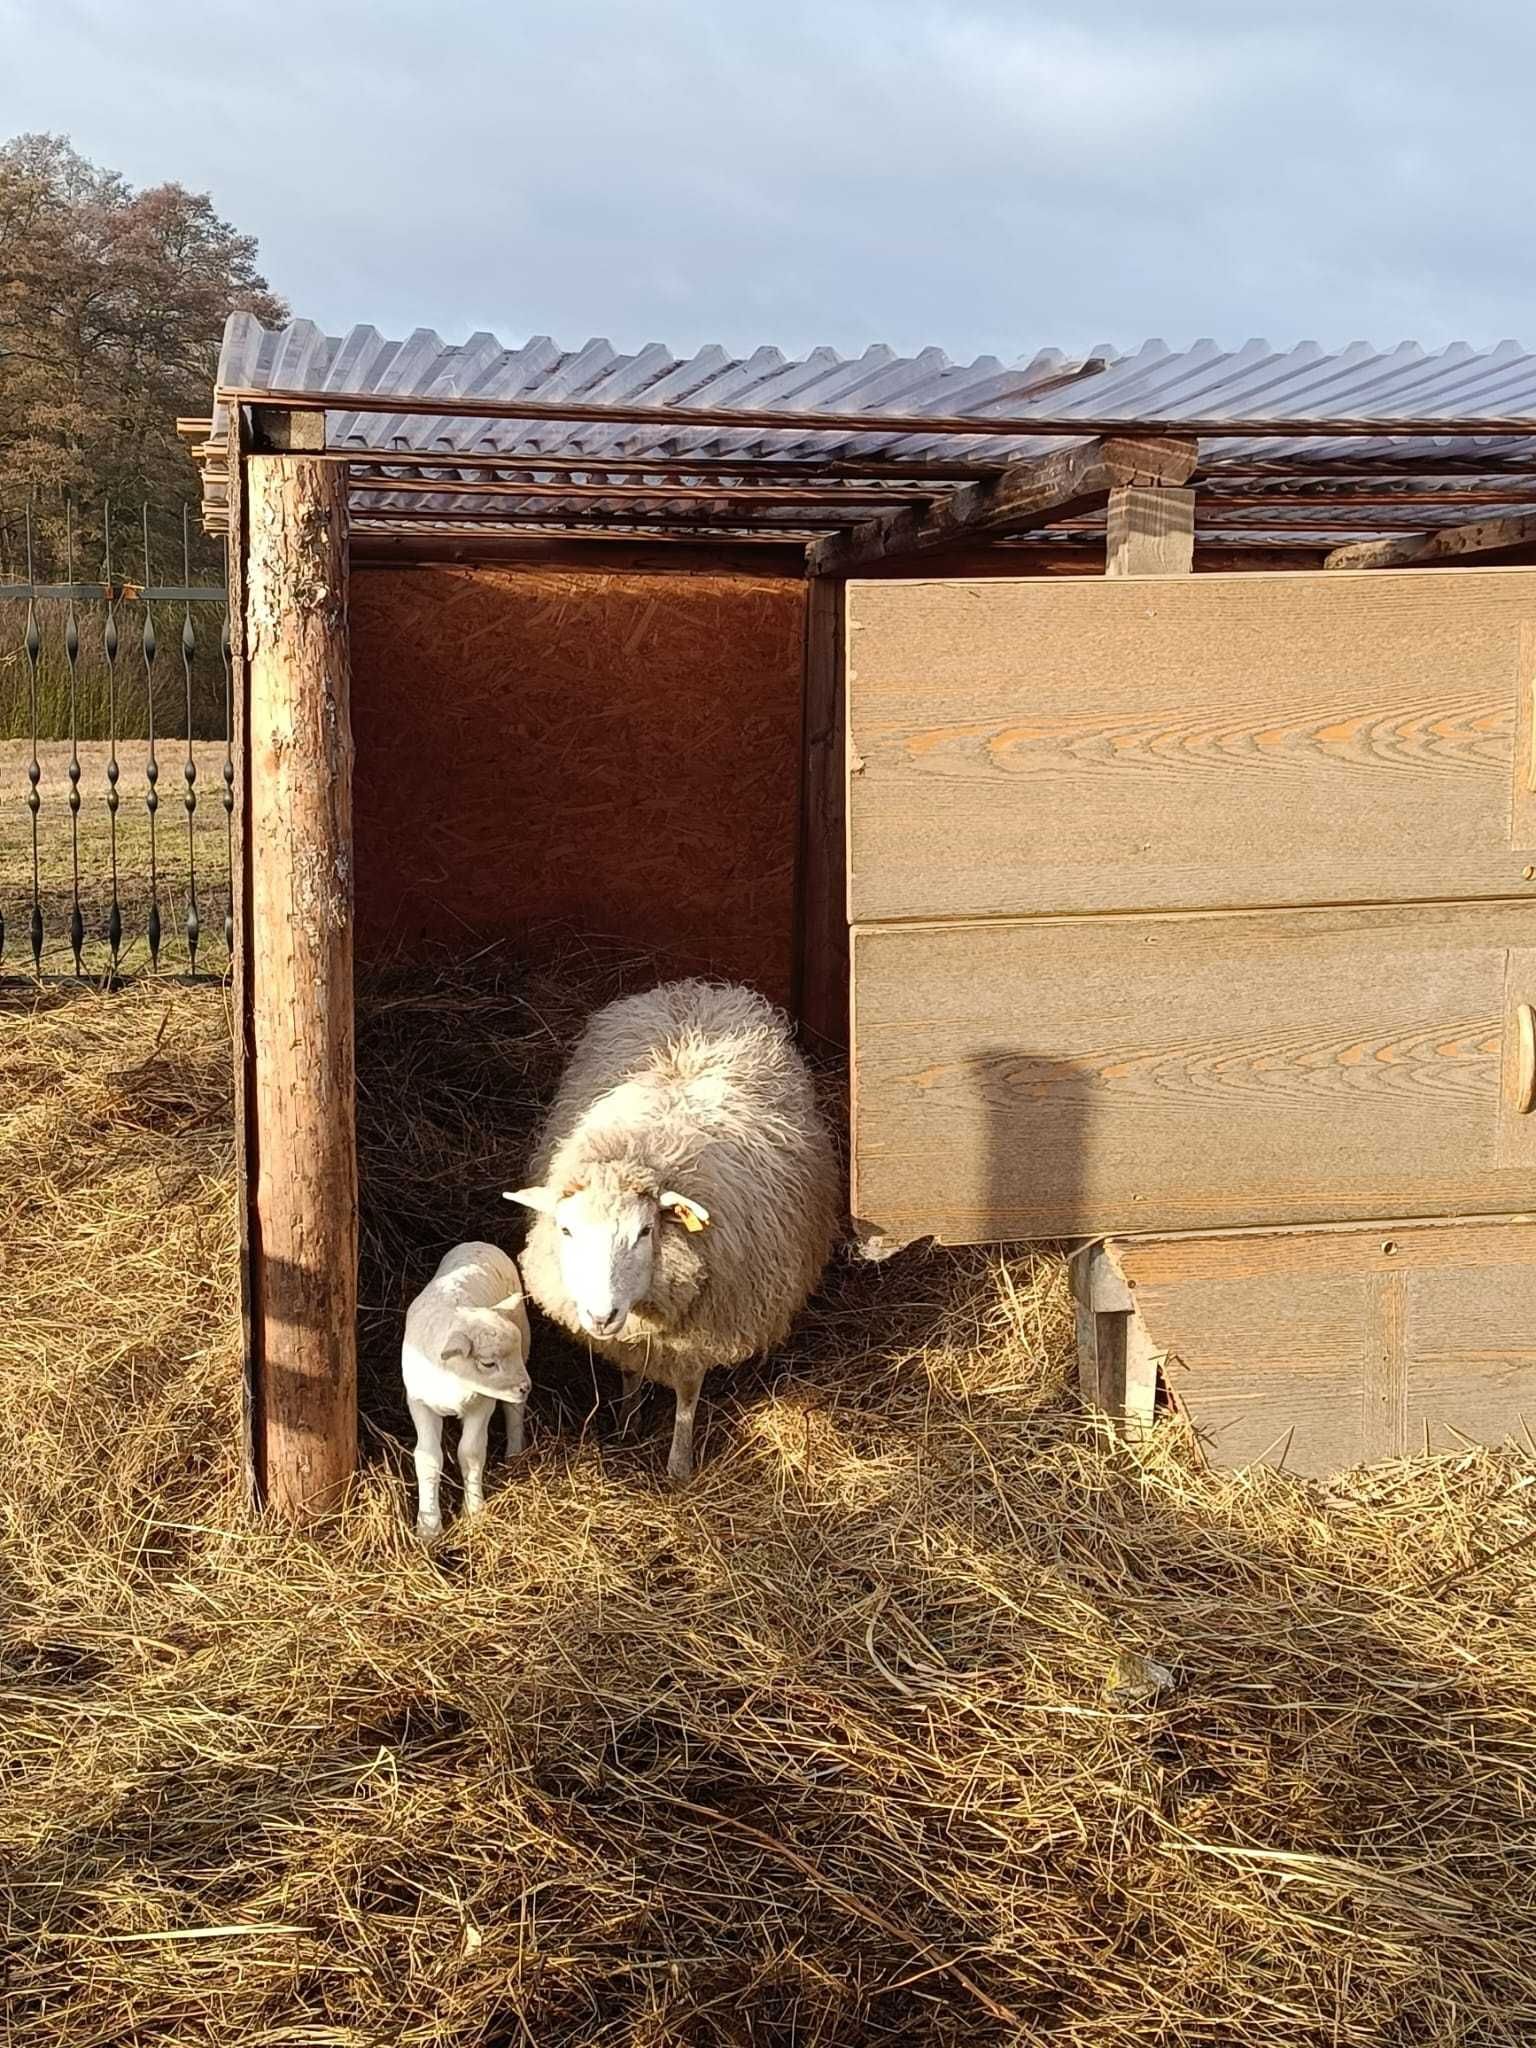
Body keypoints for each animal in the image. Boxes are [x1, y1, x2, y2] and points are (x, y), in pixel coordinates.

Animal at [399, 1245, 532, 1540]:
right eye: (488, 1363)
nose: (525, 1387)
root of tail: (480, 1243)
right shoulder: (419, 1402)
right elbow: (428, 1457)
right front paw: (428, 1526)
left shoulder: (481, 1404)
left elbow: (470, 1453)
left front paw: (474, 1511)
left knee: (514, 1410)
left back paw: (515, 1453)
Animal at [505, 978, 843, 1482]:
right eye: (566, 1231)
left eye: (645, 1232)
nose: (600, 1316)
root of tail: (695, 990)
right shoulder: (629, 1335)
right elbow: (629, 1372)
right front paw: (626, 1426)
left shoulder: (703, 1333)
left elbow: (686, 1395)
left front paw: (679, 1465)